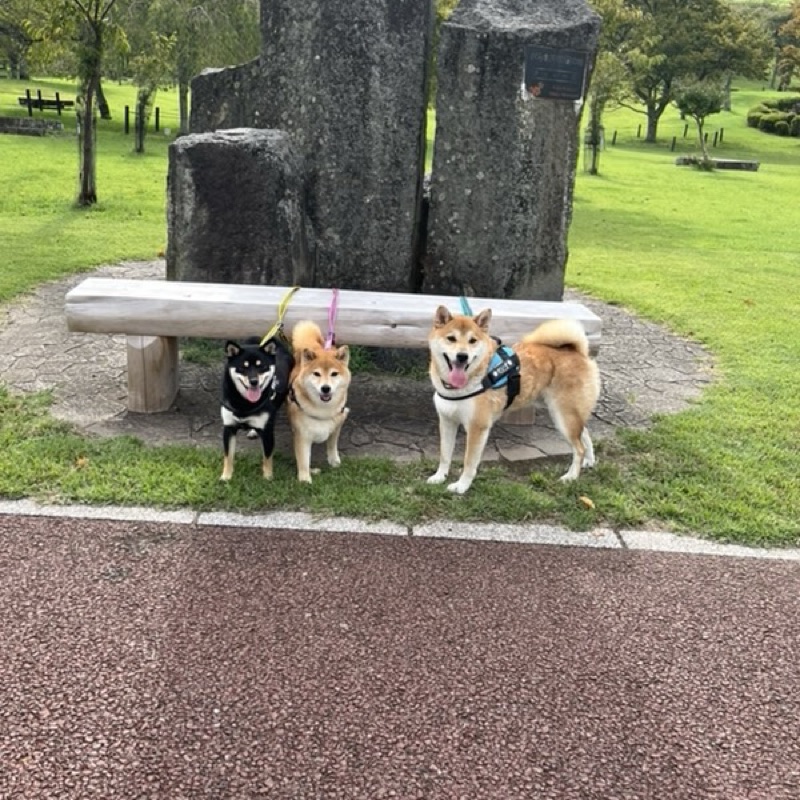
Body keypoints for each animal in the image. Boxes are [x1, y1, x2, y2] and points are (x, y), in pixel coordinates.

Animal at [220, 336, 293, 481]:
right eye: (243, 367)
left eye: (262, 366)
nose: (254, 381)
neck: (244, 403)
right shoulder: (229, 428)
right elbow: (228, 456)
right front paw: (226, 476)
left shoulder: (267, 432)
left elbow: (267, 457)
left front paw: (268, 477)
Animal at [287, 320, 351, 483]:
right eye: (316, 374)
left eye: (334, 374)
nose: (325, 388)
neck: (323, 410)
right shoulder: (302, 435)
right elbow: (304, 459)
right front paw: (305, 479)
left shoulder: (338, 423)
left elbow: (332, 444)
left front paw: (334, 460)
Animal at [427, 306, 600, 494]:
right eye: (451, 338)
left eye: (472, 341)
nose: (462, 356)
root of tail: (576, 351)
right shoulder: (447, 421)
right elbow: (445, 455)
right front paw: (439, 476)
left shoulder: (477, 427)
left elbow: (469, 462)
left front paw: (461, 486)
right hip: (564, 414)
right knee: (584, 433)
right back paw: (589, 460)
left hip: (563, 416)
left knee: (579, 447)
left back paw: (571, 476)